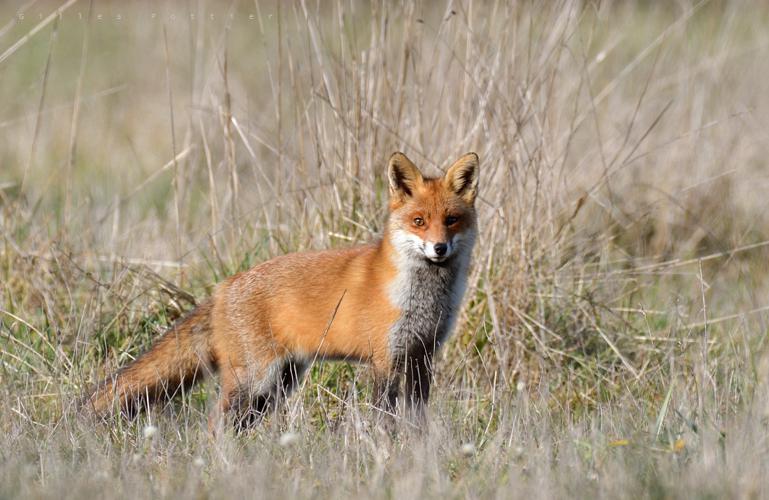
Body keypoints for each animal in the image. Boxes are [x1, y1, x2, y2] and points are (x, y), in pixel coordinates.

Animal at [85, 152, 480, 430]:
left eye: (451, 220)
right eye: (419, 222)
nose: (439, 249)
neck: (422, 299)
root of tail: (224, 287)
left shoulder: (422, 356)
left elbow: (418, 418)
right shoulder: (384, 359)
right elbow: (384, 417)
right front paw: (386, 452)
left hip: (277, 385)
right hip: (255, 380)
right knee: (214, 424)